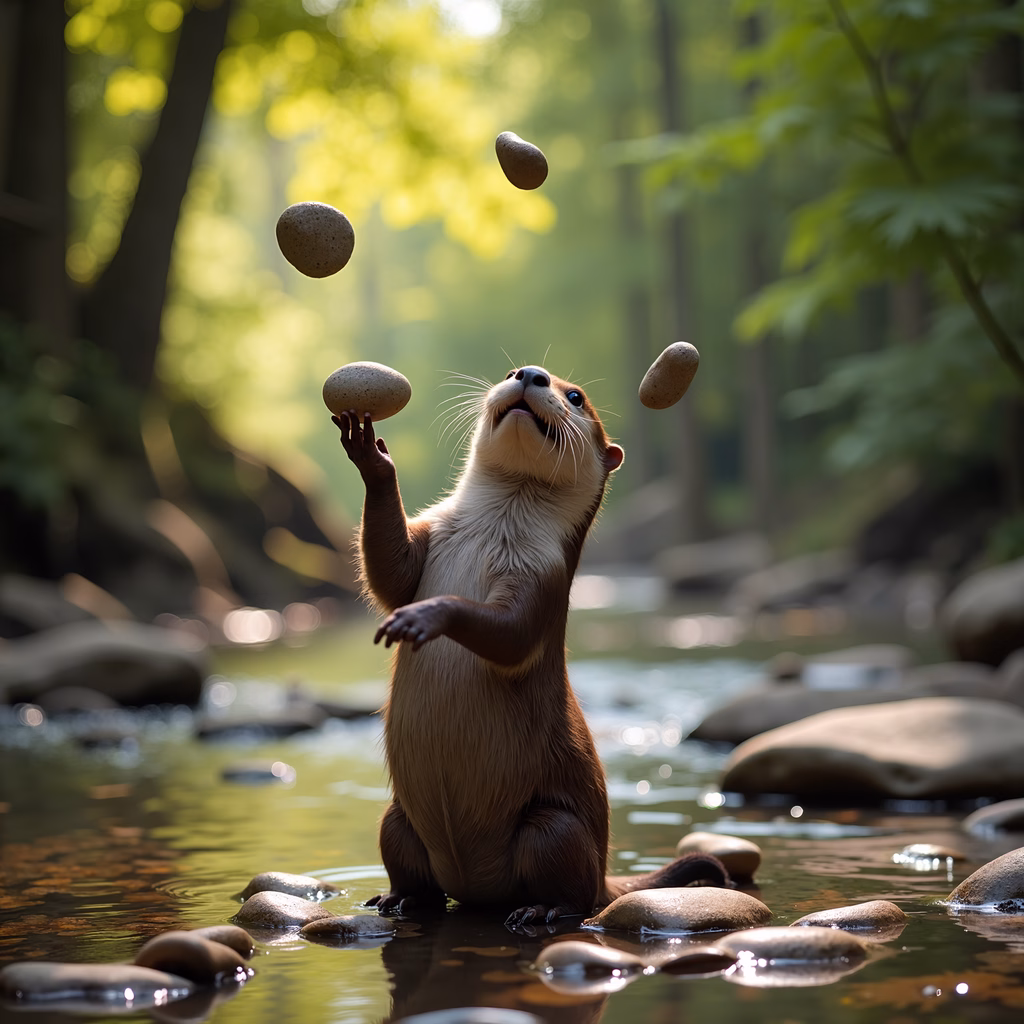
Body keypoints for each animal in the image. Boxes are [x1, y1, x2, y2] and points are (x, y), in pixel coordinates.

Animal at [335, 365, 729, 928]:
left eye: (576, 396)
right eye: (509, 371)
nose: (531, 374)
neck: (491, 531)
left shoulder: (545, 578)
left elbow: (512, 633)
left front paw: (427, 615)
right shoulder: (429, 539)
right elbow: (389, 570)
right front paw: (370, 455)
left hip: (552, 828)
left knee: (573, 888)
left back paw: (541, 908)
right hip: (397, 818)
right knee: (411, 862)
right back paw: (400, 899)